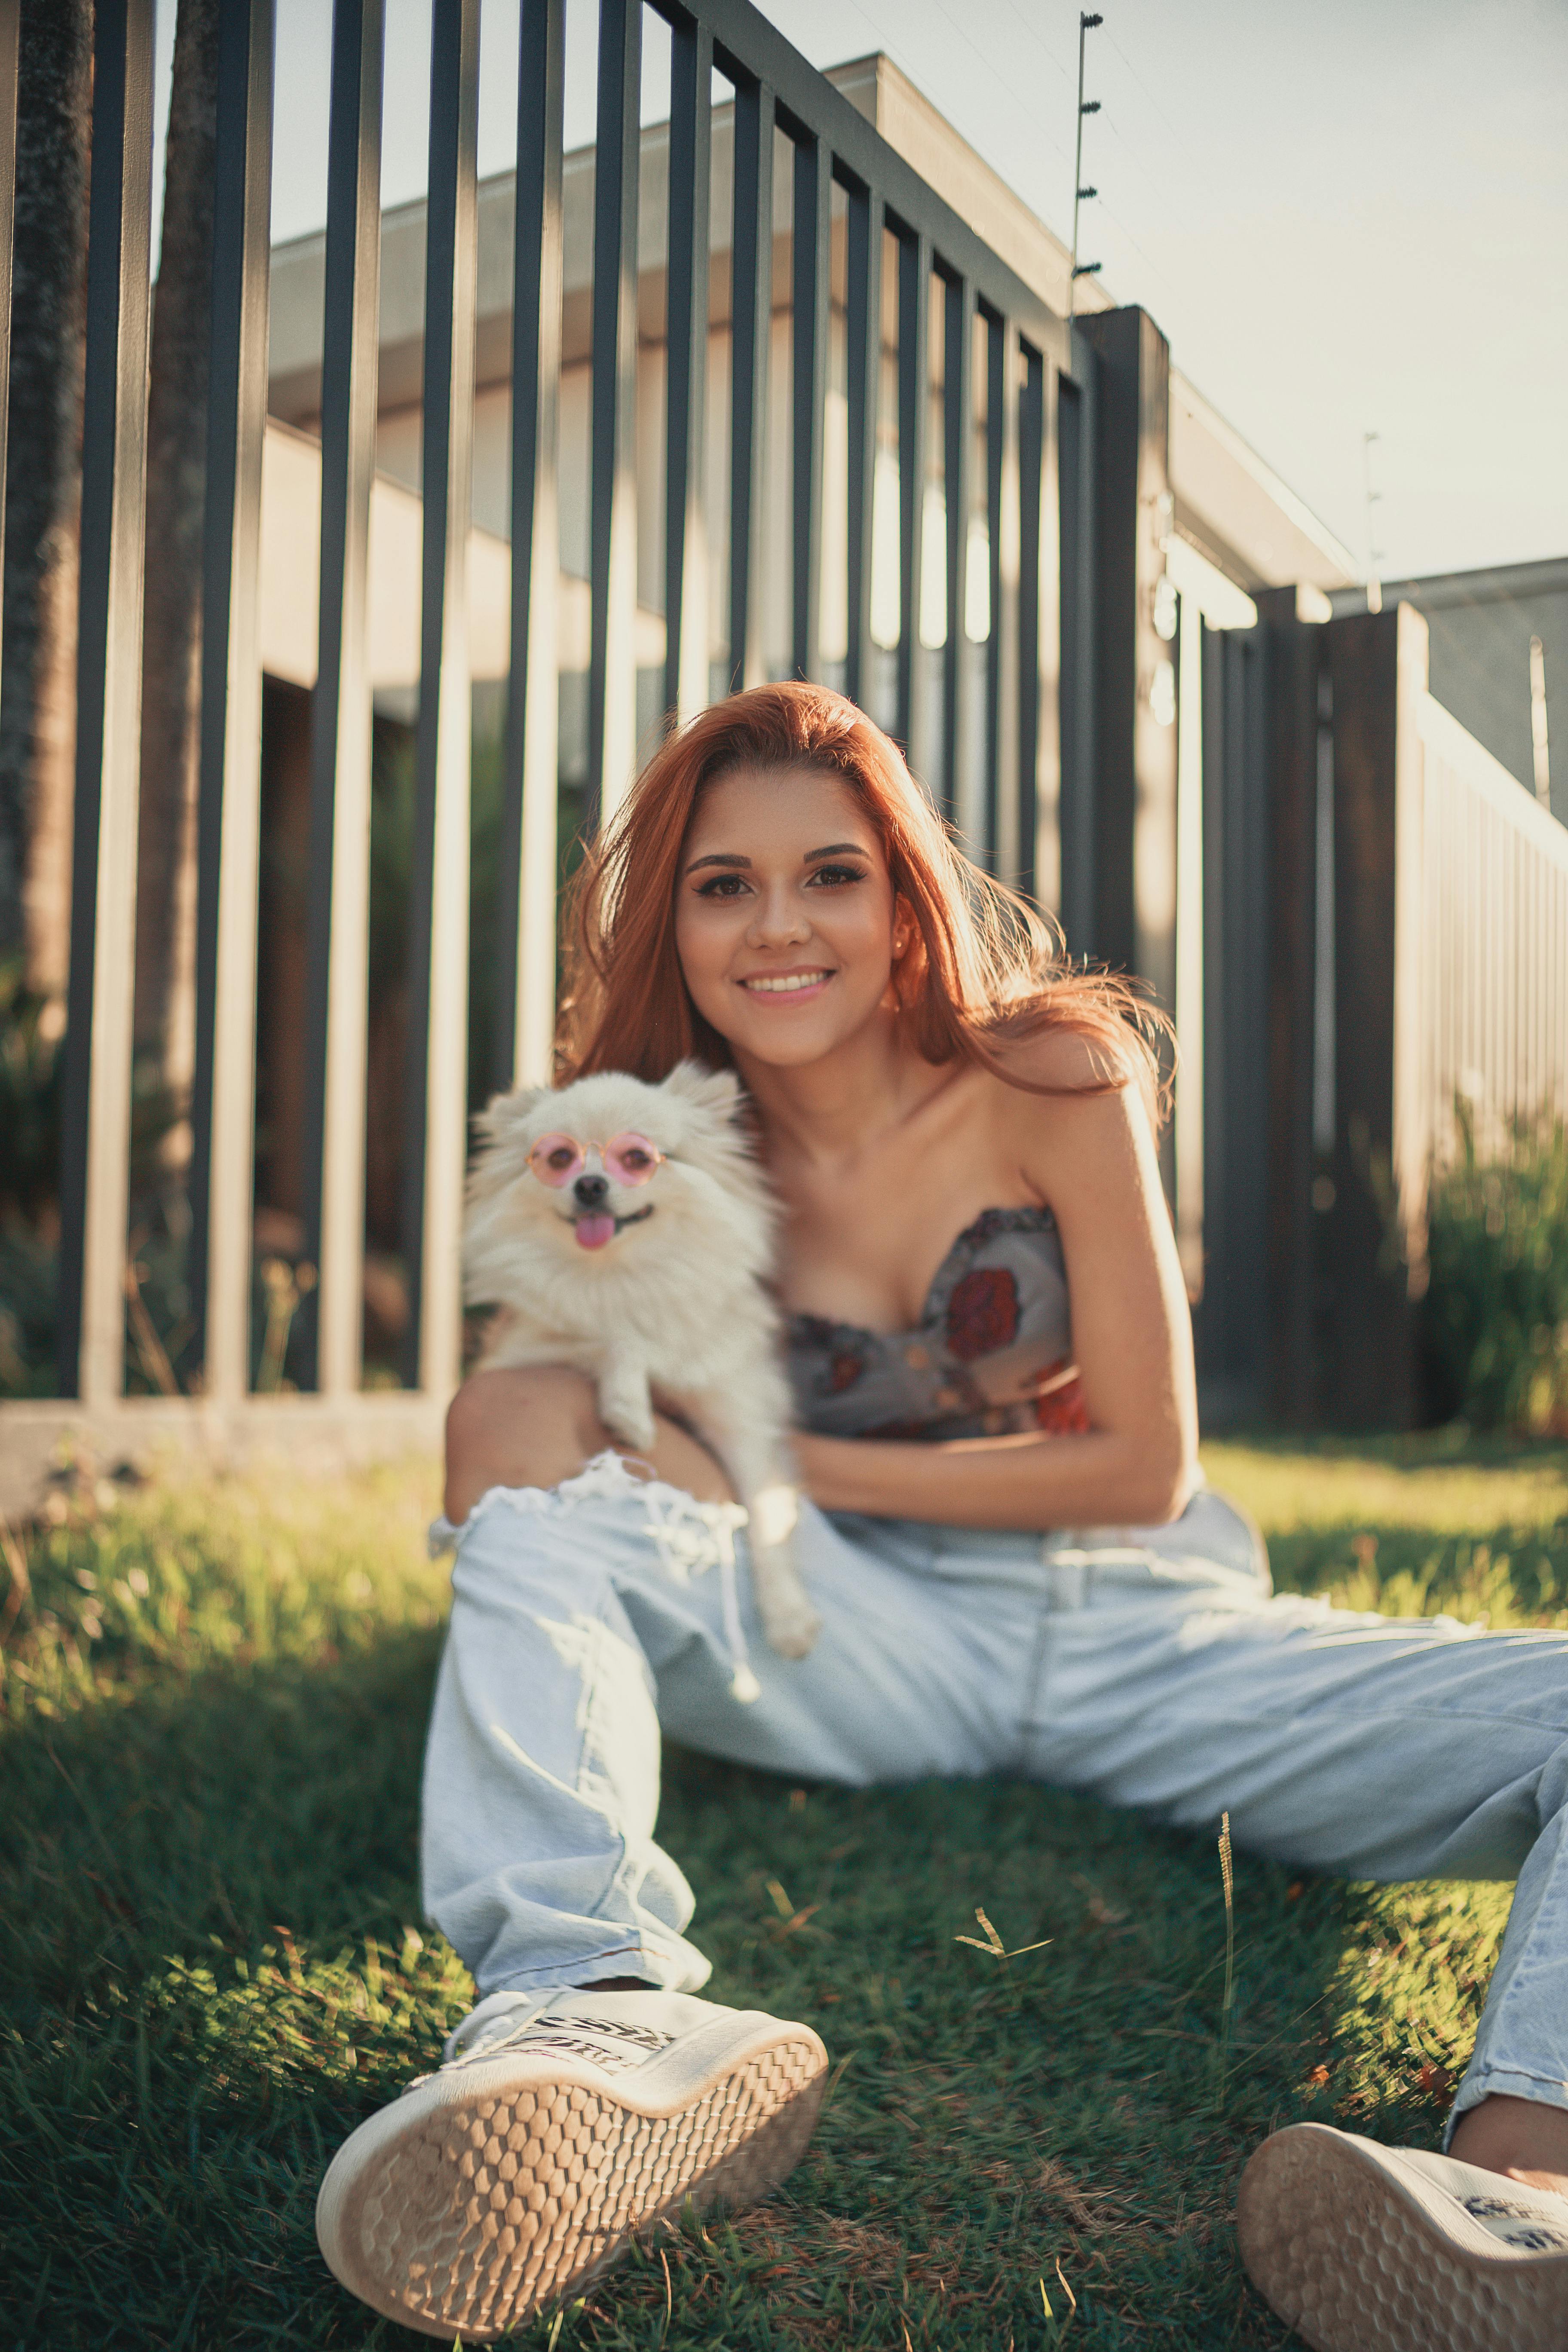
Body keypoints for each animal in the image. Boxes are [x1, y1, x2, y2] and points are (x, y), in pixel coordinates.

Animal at [463, 1068, 823, 1675]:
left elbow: (767, 1512)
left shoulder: (743, 1418)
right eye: (559, 1158)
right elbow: (613, 1340)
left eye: (635, 1158)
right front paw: (630, 1411)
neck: (624, 1279)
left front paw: (788, 1616)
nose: (589, 1184)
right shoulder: (522, 1349)